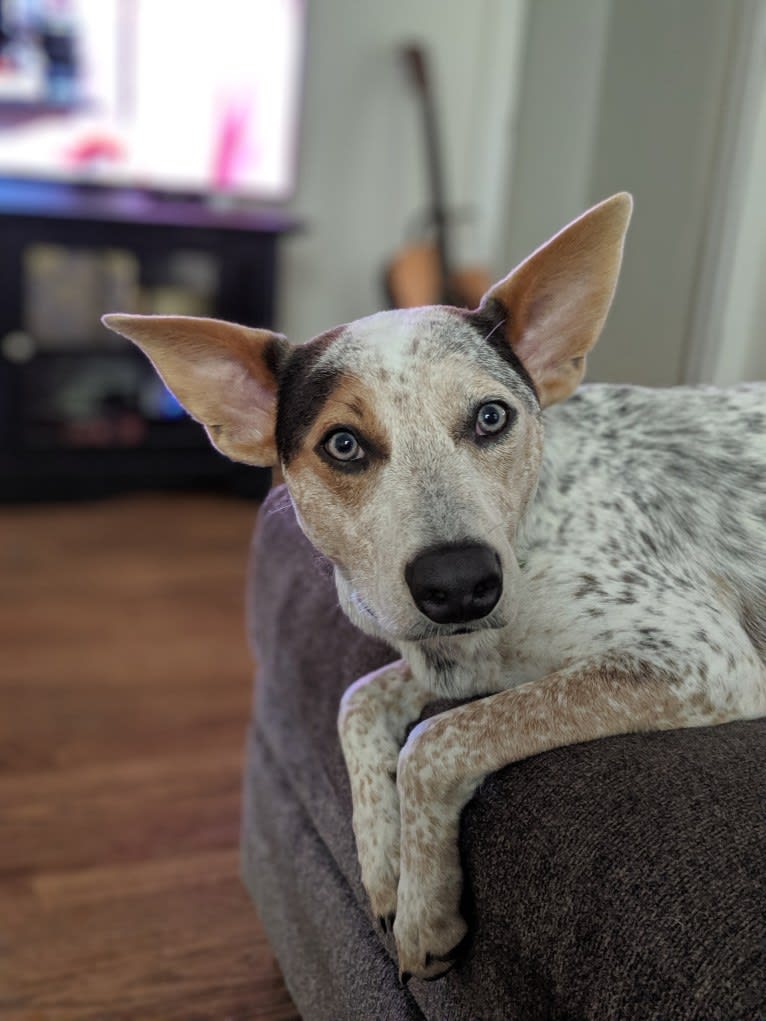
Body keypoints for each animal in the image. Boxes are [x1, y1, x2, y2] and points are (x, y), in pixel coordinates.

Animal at [103, 191, 766, 980]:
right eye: (343, 445)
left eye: (491, 417)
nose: (461, 583)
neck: (531, 536)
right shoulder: (456, 660)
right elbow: (357, 702)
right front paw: (384, 864)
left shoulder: (700, 659)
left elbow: (433, 740)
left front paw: (425, 907)